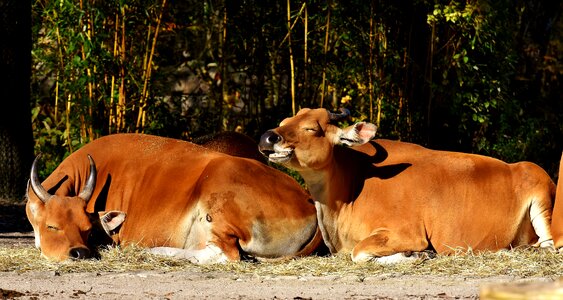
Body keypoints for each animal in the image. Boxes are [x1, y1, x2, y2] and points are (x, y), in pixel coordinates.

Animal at [258, 109, 556, 264]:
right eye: (284, 123)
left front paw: (415, 255)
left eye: (311, 129)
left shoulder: (406, 233)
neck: (352, 189)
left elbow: (359, 253)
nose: (268, 137)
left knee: (551, 245)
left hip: (541, 195)